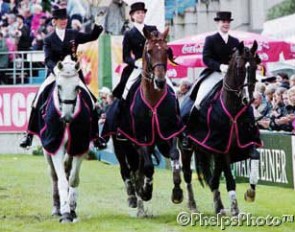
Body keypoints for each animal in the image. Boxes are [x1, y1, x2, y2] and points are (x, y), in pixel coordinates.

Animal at [104, 27, 185, 218]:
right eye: (148, 51)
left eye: (167, 50)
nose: (160, 81)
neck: (153, 99)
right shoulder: (141, 139)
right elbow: (148, 168)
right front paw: (146, 191)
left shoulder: (168, 135)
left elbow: (175, 158)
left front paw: (177, 192)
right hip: (121, 145)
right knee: (126, 170)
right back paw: (133, 197)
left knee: (136, 170)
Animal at [179, 41, 262, 216]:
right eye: (239, 68)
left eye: (254, 67)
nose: (248, 100)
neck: (233, 110)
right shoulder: (222, 147)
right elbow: (230, 179)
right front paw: (235, 208)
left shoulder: (244, 142)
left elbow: (255, 156)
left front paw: (250, 193)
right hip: (186, 149)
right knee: (188, 174)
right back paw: (192, 205)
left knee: (214, 178)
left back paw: (219, 206)